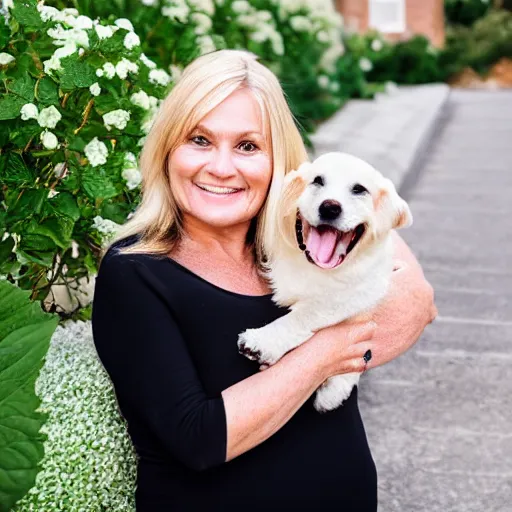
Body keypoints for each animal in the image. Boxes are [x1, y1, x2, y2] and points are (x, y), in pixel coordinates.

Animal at [237, 151, 412, 412]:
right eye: (317, 181)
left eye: (359, 189)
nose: (330, 208)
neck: (316, 269)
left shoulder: (362, 290)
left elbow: (306, 313)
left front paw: (264, 342)